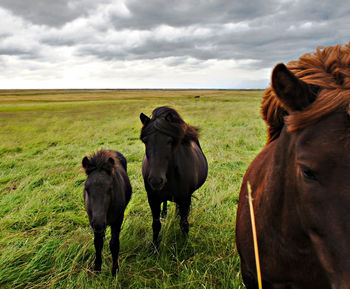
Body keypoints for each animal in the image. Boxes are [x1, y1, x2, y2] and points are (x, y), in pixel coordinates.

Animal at [139, 106, 206, 248]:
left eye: (170, 141)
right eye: (145, 141)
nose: (156, 180)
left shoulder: (185, 198)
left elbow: (184, 224)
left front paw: (185, 246)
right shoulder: (152, 198)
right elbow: (156, 225)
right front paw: (155, 248)